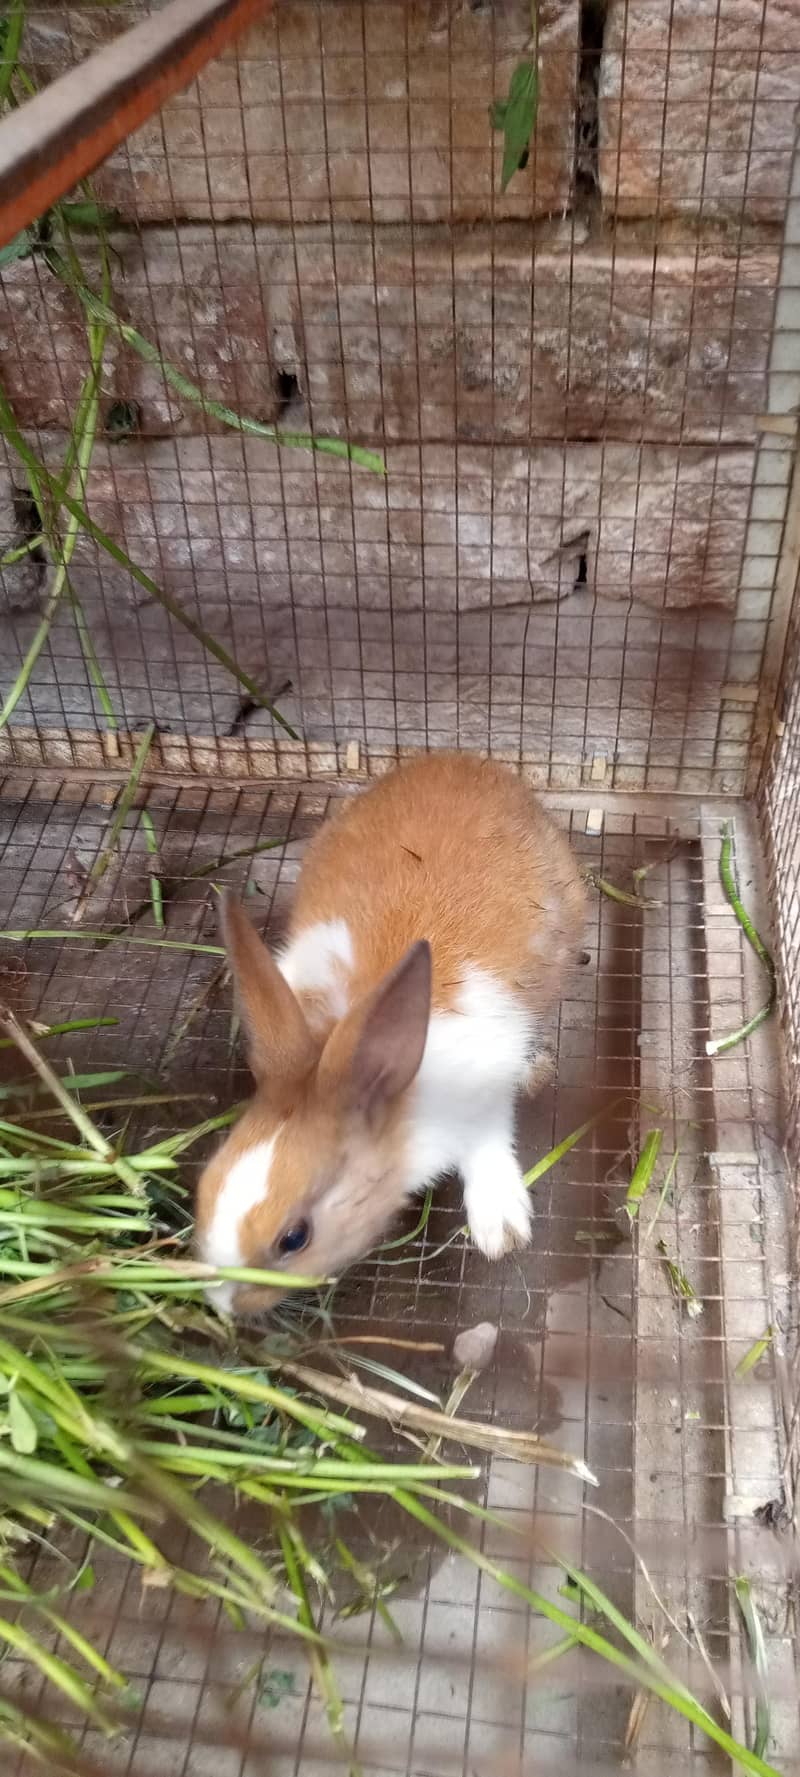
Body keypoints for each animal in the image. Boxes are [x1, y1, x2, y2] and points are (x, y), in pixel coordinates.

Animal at [195, 753, 586, 1316]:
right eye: (204, 1187)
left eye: (294, 1238)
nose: (223, 1305)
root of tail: (463, 760)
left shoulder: (486, 1091)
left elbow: (489, 1140)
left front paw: (500, 1227)